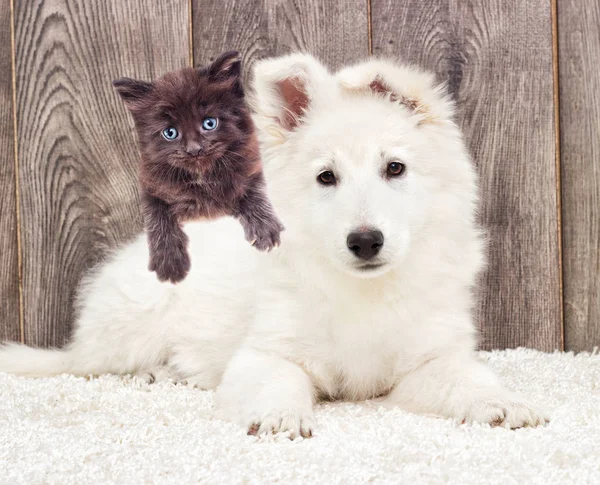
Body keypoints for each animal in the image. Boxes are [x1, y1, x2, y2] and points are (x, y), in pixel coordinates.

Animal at [0, 53, 548, 434]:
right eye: (326, 177)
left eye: (395, 168)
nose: (365, 242)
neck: (361, 290)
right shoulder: (269, 351)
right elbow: (278, 380)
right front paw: (279, 417)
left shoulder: (429, 357)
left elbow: (466, 379)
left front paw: (502, 403)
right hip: (135, 318)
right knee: (90, 364)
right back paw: (155, 374)